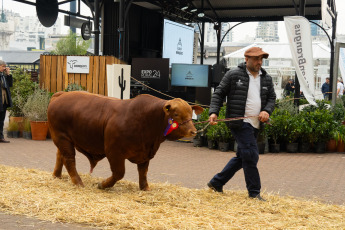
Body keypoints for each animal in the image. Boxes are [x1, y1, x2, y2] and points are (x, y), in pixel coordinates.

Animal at [46, 91, 202, 190]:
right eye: (176, 114)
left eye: (191, 114)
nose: (193, 131)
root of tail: (61, 94)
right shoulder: (114, 152)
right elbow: (119, 173)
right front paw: (103, 184)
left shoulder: (145, 154)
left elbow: (143, 172)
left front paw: (145, 188)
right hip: (62, 138)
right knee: (69, 159)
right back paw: (78, 183)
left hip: (64, 140)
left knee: (60, 156)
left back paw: (57, 176)